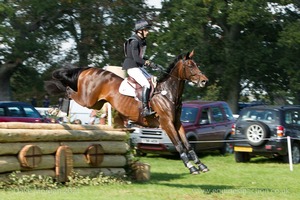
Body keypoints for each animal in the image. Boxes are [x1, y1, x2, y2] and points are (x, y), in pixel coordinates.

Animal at [45, 50, 209, 174]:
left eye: (196, 65)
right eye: (190, 66)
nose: (204, 81)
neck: (167, 93)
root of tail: (88, 69)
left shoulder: (177, 123)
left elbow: (187, 144)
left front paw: (201, 165)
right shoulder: (166, 123)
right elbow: (179, 145)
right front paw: (191, 167)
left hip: (96, 104)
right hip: (87, 100)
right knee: (68, 91)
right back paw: (58, 111)